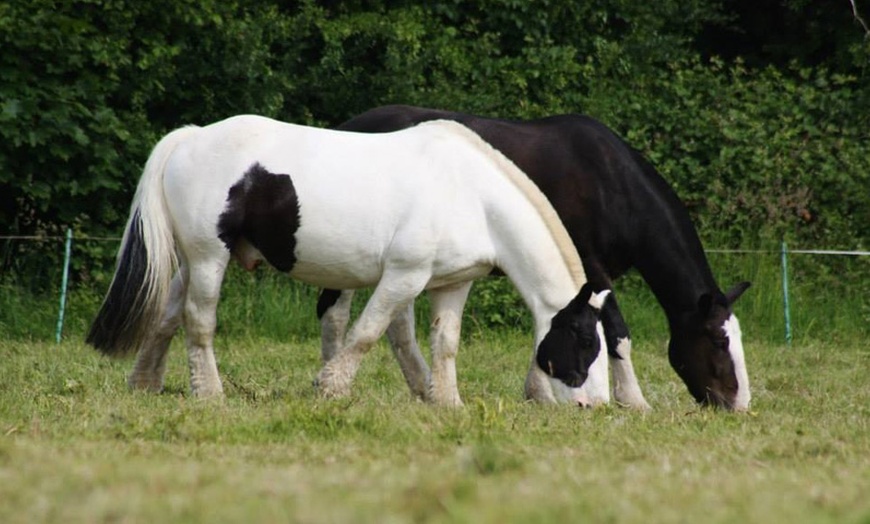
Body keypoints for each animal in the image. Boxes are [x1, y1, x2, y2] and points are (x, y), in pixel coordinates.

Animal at [83, 115, 612, 406]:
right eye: (585, 339)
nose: (596, 405)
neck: (471, 192)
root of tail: (189, 138)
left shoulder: (451, 284)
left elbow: (445, 344)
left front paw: (447, 402)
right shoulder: (404, 276)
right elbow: (366, 334)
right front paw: (331, 388)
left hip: (196, 260)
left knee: (169, 316)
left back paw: (146, 382)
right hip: (210, 256)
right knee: (198, 321)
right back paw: (210, 393)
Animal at [322, 104, 756, 412]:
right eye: (718, 340)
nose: (738, 404)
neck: (610, 184)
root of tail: (351, 124)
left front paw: (539, 393)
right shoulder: (592, 270)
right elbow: (616, 332)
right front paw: (633, 400)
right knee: (334, 311)